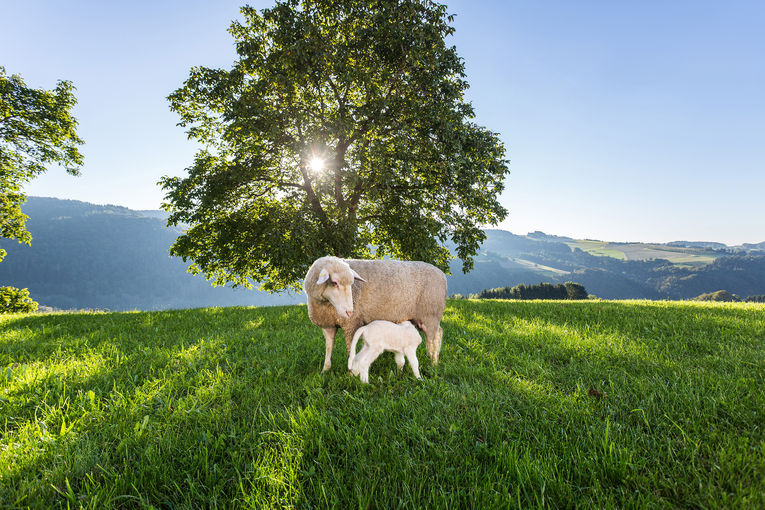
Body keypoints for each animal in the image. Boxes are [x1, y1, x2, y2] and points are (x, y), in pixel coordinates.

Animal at [302, 256, 448, 372]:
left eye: (352, 284)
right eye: (334, 282)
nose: (349, 311)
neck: (325, 304)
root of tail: (442, 274)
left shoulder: (351, 324)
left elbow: (350, 350)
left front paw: (350, 373)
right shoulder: (328, 325)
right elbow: (328, 348)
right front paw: (325, 370)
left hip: (430, 314)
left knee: (433, 338)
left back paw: (433, 362)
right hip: (424, 318)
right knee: (439, 332)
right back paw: (435, 359)